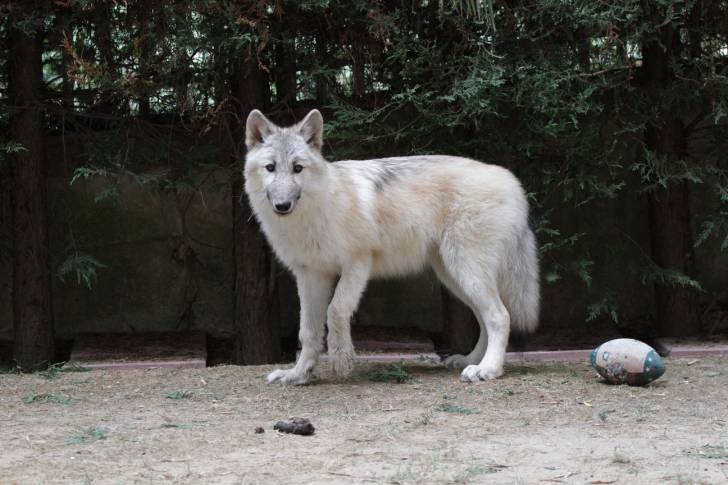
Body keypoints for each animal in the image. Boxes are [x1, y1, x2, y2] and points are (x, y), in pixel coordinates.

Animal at [244, 109, 540, 384]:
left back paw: (488, 369)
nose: (282, 205)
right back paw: (470, 361)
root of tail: (510, 179)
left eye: (297, 168)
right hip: (455, 278)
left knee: (500, 316)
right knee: (484, 319)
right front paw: (298, 374)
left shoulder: (357, 264)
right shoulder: (310, 276)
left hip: (467, 272)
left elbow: (336, 311)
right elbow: (307, 332)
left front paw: (341, 360)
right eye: (270, 168)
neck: (317, 210)